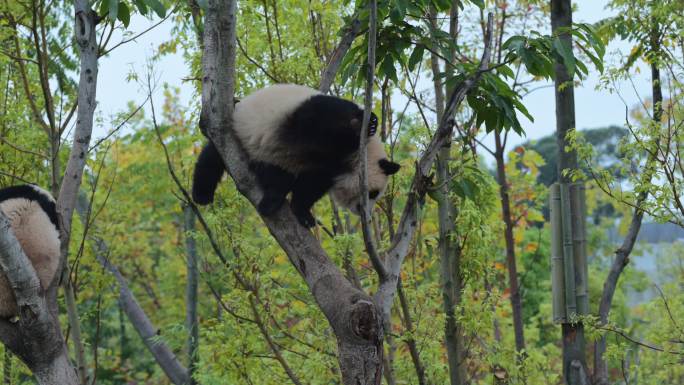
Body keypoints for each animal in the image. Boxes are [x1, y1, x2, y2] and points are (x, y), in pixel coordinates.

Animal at [192, 84, 400, 226]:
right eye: (373, 193)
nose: (366, 215)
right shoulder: (319, 117)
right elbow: (321, 128)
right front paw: (369, 124)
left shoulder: (324, 166)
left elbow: (311, 185)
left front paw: (303, 214)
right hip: (238, 130)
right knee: (211, 160)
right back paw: (202, 195)